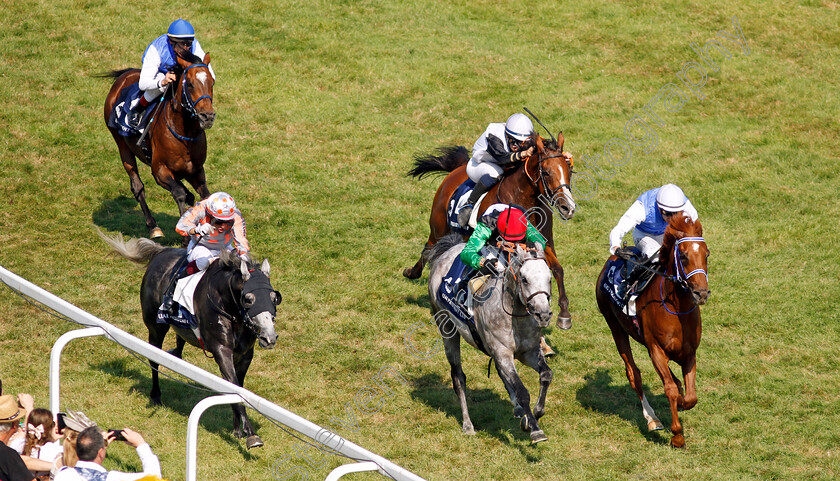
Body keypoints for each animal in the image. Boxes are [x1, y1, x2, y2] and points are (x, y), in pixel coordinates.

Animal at [95, 231, 278, 448]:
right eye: (249, 299)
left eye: (274, 297)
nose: (270, 337)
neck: (230, 310)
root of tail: (162, 251)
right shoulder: (221, 350)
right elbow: (234, 386)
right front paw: (251, 434)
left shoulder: (244, 354)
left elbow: (237, 389)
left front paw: (237, 430)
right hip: (155, 327)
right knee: (154, 360)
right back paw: (156, 396)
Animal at [103, 49, 215, 239]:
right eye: (190, 84)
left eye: (212, 82)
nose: (207, 116)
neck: (184, 134)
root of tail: (125, 75)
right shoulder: (159, 170)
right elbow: (178, 194)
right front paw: (185, 237)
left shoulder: (196, 170)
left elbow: (205, 196)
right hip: (122, 145)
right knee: (137, 186)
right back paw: (153, 226)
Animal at [402, 135, 576, 330]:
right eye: (546, 172)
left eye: (568, 170)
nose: (568, 207)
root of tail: (457, 169)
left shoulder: (543, 242)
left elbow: (557, 269)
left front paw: (564, 315)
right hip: (438, 228)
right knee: (429, 249)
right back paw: (412, 273)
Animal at [426, 232, 552, 442]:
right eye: (524, 279)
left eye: (549, 278)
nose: (543, 314)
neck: (514, 315)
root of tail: (448, 250)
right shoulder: (502, 352)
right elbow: (522, 391)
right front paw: (535, 428)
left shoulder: (528, 352)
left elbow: (546, 375)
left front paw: (536, 412)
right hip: (447, 328)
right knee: (458, 377)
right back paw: (468, 425)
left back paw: (518, 409)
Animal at [592, 214, 712, 446]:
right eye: (683, 256)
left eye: (706, 255)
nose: (701, 293)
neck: (677, 310)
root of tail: (611, 260)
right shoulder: (656, 349)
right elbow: (670, 389)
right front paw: (677, 436)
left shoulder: (689, 353)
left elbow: (690, 396)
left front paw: (683, 402)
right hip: (615, 327)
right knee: (634, 374)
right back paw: (652, 419)